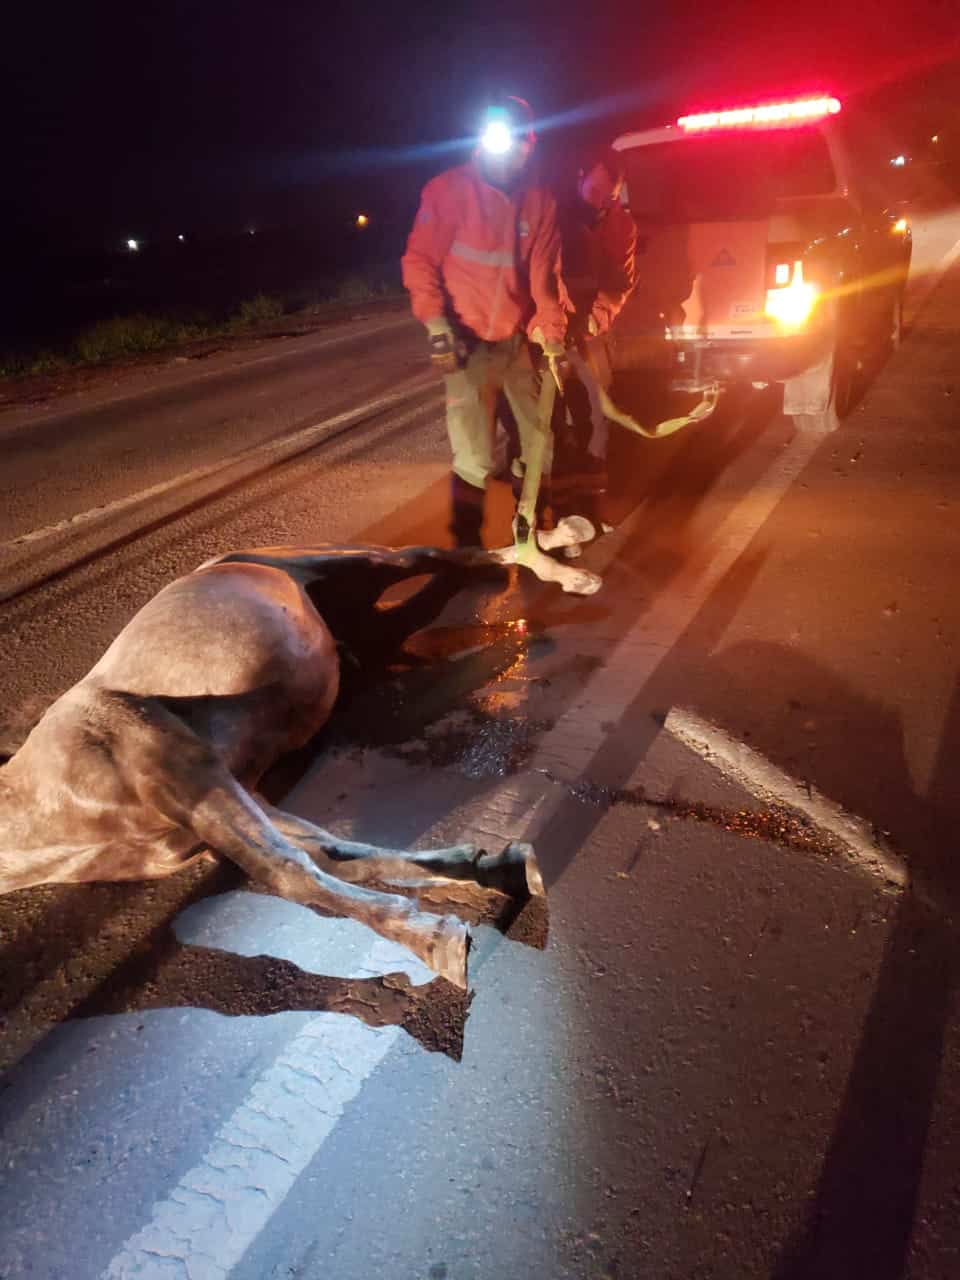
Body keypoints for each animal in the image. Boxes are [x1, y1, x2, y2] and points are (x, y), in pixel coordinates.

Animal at [0, 540, 552, 988]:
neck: (53, 799)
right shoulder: (234, 797)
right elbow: (341, 856)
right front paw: (490, 868)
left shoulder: (191, 772)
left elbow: (288, 871)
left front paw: (433, 940)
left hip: (349, 560)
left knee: (439, 555)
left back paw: (553, 558)